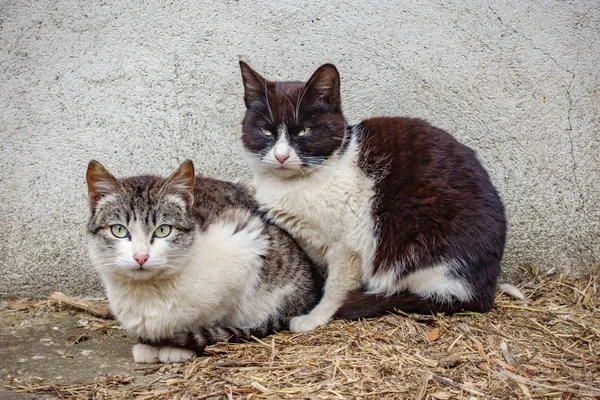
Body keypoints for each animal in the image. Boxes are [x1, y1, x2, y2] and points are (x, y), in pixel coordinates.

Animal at [84, 159, 324, 362]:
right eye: (119, 230)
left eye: (163, 230)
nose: (141, 257)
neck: (148, 292)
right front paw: (149, 345)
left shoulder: (245, 240)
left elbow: (209, 318)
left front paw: (176, 348)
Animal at [239, 61, 506, 332]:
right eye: (266, 131)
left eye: (303, 131)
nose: (281, 156)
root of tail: (488, 288)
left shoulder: (349, 245)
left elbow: (336, 287)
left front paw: (315, 318)